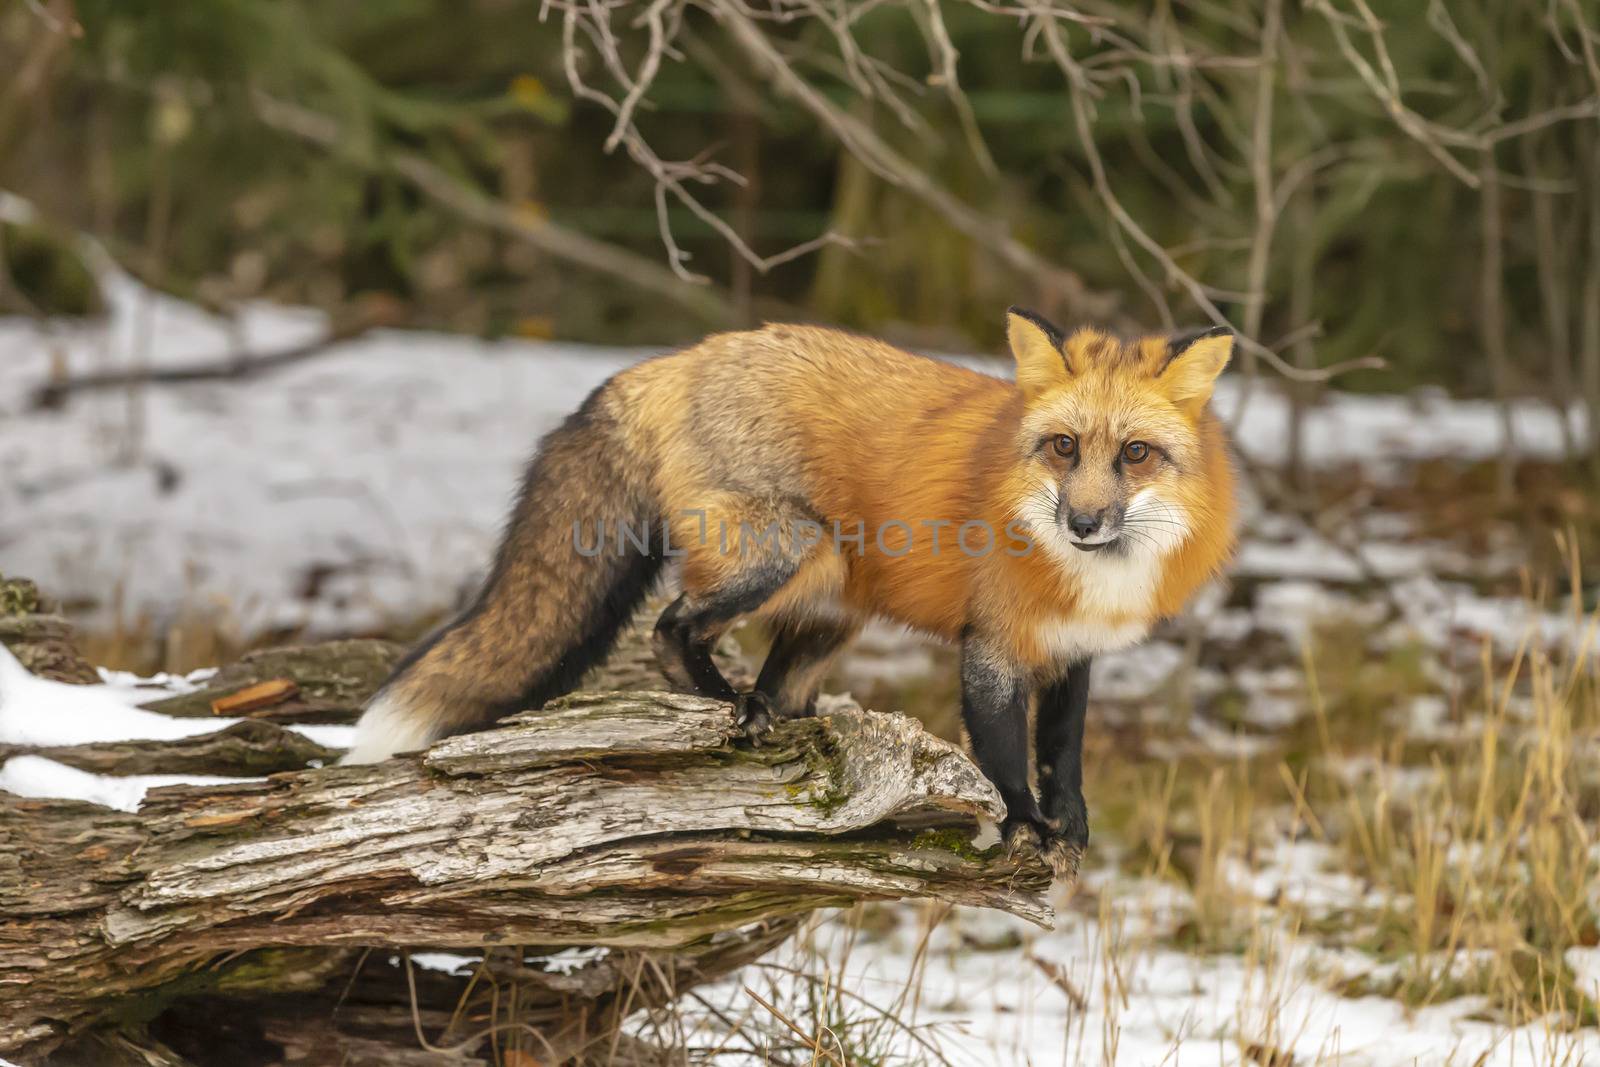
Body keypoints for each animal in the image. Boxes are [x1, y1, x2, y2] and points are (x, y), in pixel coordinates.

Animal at [353, 307, 1235, 870]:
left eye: (1135, 454)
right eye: (1062, 447)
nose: (1083, 521)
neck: (1085, 576)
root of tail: (675, 359)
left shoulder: (1072, 651)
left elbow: (1063, 751)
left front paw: (1070, 828)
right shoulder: (992, 646)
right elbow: (1005, 755)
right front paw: (1023, 825)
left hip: (836, 602)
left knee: (777, 679)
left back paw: (783, 724)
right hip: (791, 553)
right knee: (671, 628)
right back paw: (726, 708)